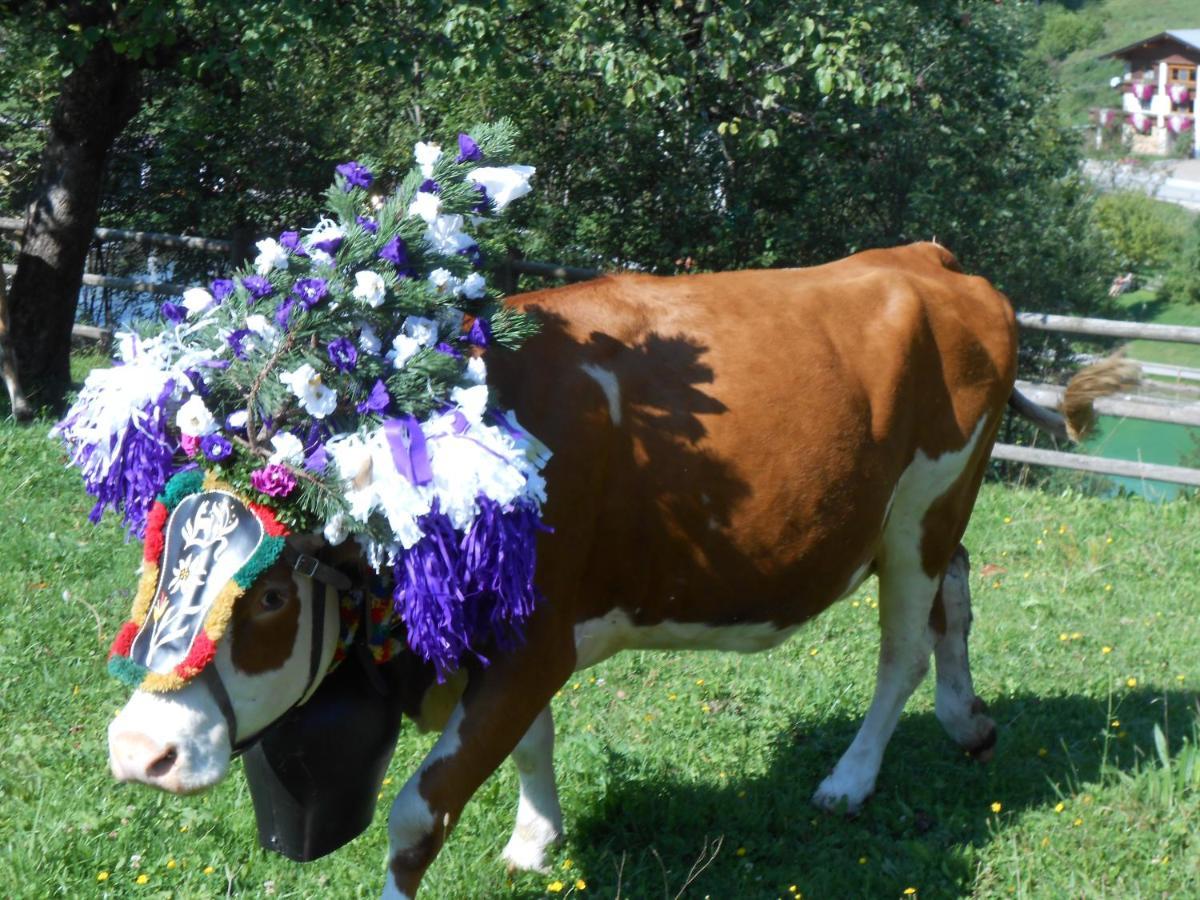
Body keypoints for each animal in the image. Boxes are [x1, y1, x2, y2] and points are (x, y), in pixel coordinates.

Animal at [103, 243, 1123, 897]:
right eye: (159, 561)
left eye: (273, 592)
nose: (138, 752)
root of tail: (932, 262)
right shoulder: (519, 639)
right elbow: (532, 744)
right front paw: (535, 842)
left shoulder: (533, 642)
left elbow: (418, 817)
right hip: (927, 516)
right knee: (958, 594)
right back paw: (967, 721)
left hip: (923, 506)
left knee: (904, 648)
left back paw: (851, 779)